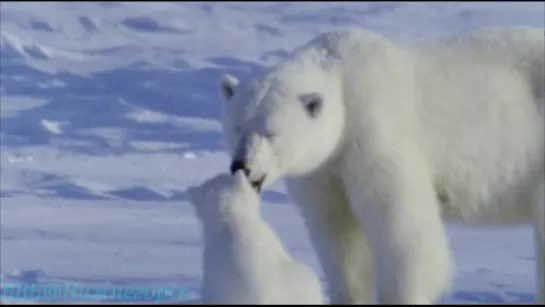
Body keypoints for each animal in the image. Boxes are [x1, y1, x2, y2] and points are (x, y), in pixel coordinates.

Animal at [217, 27, 544, 306]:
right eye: (236, 127)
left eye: (272, 133)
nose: (242, 166)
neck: (345, 81)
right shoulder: (323, 171)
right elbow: (338, 231)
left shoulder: (374, 134)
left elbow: (399, 225)